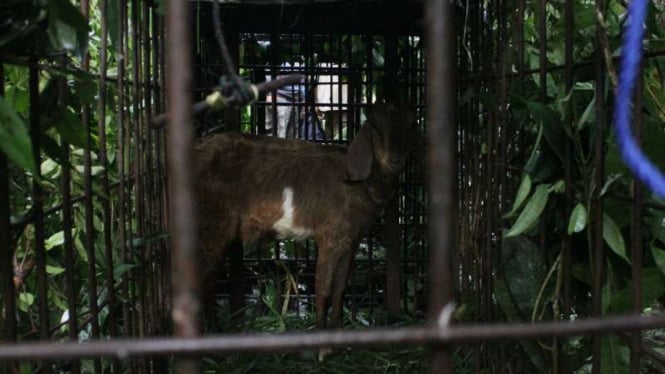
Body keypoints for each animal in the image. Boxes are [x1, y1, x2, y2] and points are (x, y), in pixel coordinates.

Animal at [192, 102, 418, 330]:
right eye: (375, 127)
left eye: (411, 127)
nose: (395, 160)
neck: (357, 183)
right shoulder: (330, 236)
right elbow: (323, 289)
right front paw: (320, 332)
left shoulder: (351, 240)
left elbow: (340, 288)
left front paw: (338, 328)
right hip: (212, 224)